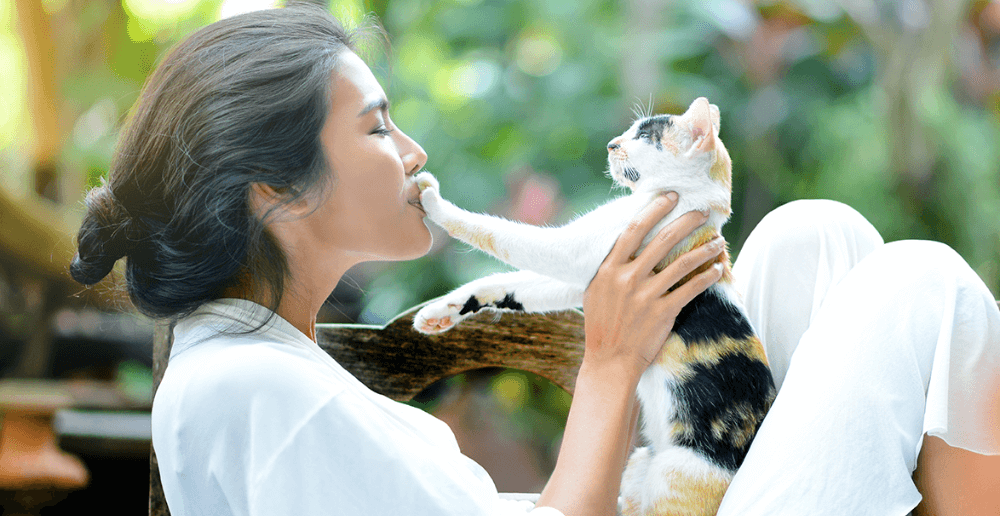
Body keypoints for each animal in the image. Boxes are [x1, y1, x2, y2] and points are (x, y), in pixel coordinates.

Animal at [410, 98, 776, 516]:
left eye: (645, 136)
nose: (611, 144)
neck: (689, 204)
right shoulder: (585, 276)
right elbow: (512, 284)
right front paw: (438, 312)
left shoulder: (574, 251)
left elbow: (497, 233)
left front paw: (432, 200)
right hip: (640, 462)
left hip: (674, 471)